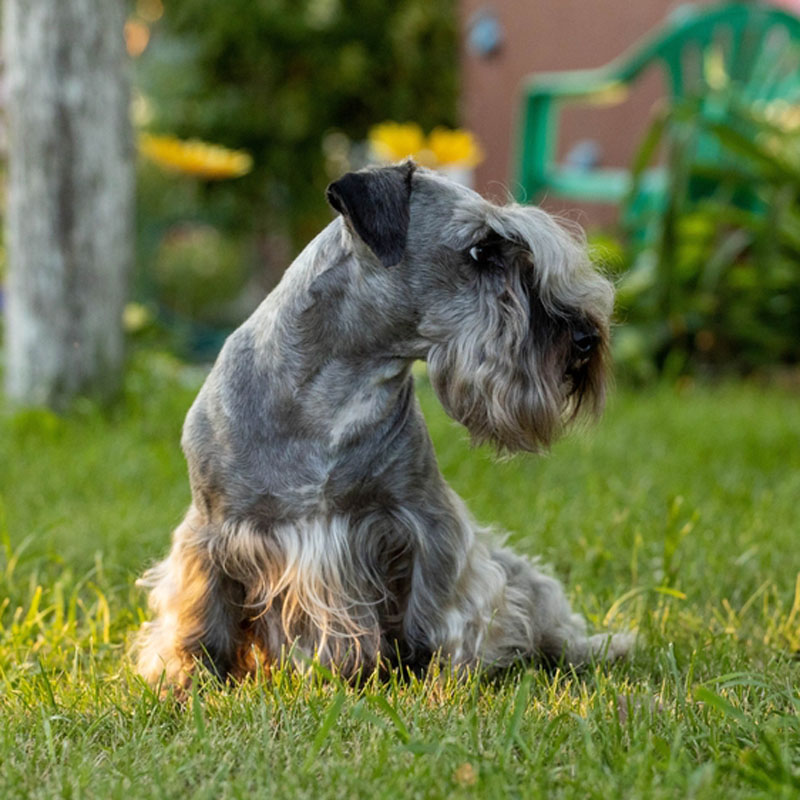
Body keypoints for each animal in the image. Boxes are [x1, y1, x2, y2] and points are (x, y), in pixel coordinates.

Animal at [136, 158, 632, 688]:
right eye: (480, 250)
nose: (584, 337)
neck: (335, 395)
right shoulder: (212, 530)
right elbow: (201, 615)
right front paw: (189, 679)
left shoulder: (424, 521)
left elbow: (438, 609)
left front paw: (437, 676)